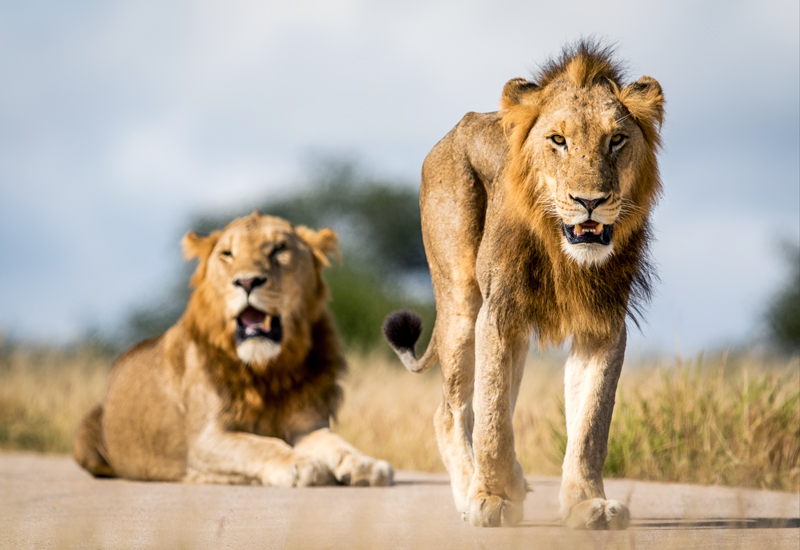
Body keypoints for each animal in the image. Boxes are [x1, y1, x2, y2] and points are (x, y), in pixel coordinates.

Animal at [75, 213, 394, 490]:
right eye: (227, 254)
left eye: (279, 249)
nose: (247, 281)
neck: (269, 370)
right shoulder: (204, 440)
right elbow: (257, 445)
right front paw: (301, 464)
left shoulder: (308, 425)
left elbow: (337, 443)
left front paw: (366, 465)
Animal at [382, 41, 664, 528]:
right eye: (558, 140)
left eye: (616, 140)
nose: (590, 201)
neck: (566, 256)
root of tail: (456, 128)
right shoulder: (497, 313)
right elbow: (493, 416)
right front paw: (490, 499)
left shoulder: (603, 324)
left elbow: (590, 424)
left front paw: (587, 504)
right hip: (461, 306)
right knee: (451, 410)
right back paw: (471, 492)